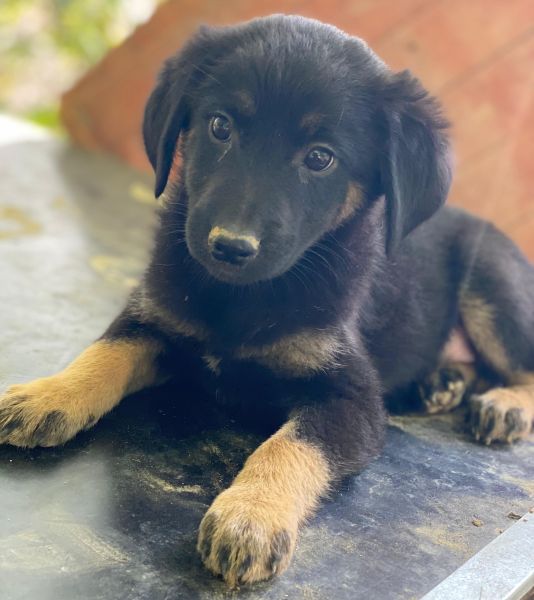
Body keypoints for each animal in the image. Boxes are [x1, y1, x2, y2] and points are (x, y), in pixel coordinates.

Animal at [1, 15, 533, 588]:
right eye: (220, 126)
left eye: (320, 158)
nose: (230, 247)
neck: (241, 297)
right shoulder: (157, 317)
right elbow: (104, 352)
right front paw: (47, 394)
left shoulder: (351, 398)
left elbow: (291, 444)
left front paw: (251, 515)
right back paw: (444, 382)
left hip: (494, 282)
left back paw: (505, 405)